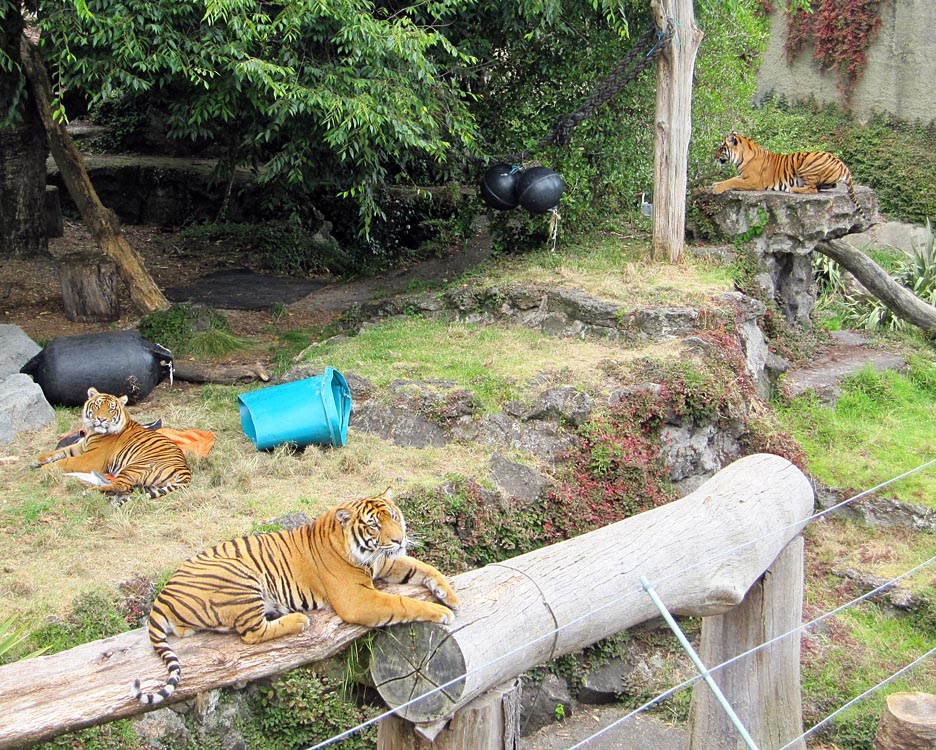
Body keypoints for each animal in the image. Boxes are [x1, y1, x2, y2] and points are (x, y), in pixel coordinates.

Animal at [31, 387, 191, 506]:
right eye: (97, 406)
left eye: (111, 409)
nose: (101, 419)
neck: (91, 431)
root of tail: (186, 471)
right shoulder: (81, 447)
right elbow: (60, 452)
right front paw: (37, 461)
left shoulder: (89, 459)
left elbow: (65, 461)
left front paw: (46, 468)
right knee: (128, 490)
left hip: (134, 467)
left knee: (119, 486)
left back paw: (89, 491)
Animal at [131, 487, 460, 705]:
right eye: (373, 525)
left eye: (393, 516)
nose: (400, 539)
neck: (366, 554)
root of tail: (161, 597)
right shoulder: (357, 599)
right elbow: (403, 602)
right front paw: (442, 612)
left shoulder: (386, 562)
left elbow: (425, 567)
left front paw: (451, 596)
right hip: (241, 578)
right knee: (250, 633)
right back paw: (298, 620)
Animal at [712, 131, 866, 220]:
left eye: (720, 148)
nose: (714, 156)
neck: (741, 156)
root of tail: (842, 165)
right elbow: (731, 179)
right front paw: (716, 184)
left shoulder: (753, 181)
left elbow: (732, 181)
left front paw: (716, 188)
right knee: (826, 186)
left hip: (806, 164)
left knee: (812, 189)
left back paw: (792, 189)